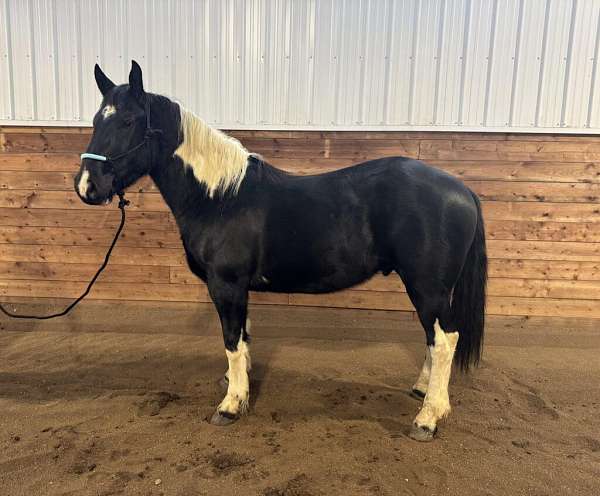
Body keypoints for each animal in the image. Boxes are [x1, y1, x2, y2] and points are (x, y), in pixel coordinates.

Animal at [75, 61, 488, 442]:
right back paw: (422, 391)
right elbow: (243, 338)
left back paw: (428, 418)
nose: (87, 186)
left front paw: (230, 405)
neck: (221, 197)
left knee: (444, 339)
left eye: (128, 120)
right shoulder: (238, 288)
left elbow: (231, 339)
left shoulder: (226, 284)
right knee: (434, 339)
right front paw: (238, 385)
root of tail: (462, 190)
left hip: (427, 287)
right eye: (96, 120)